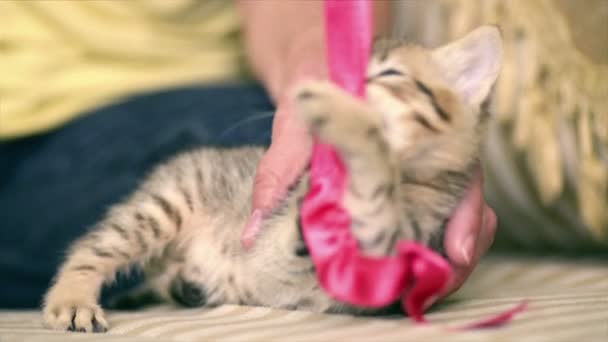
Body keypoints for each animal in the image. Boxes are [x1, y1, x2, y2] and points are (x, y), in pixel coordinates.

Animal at [42, 26, 504, 332]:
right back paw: (72, 300)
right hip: (165, 205)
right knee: (90, 247)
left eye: (391, 74)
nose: (333, 89)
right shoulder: (286, 240)